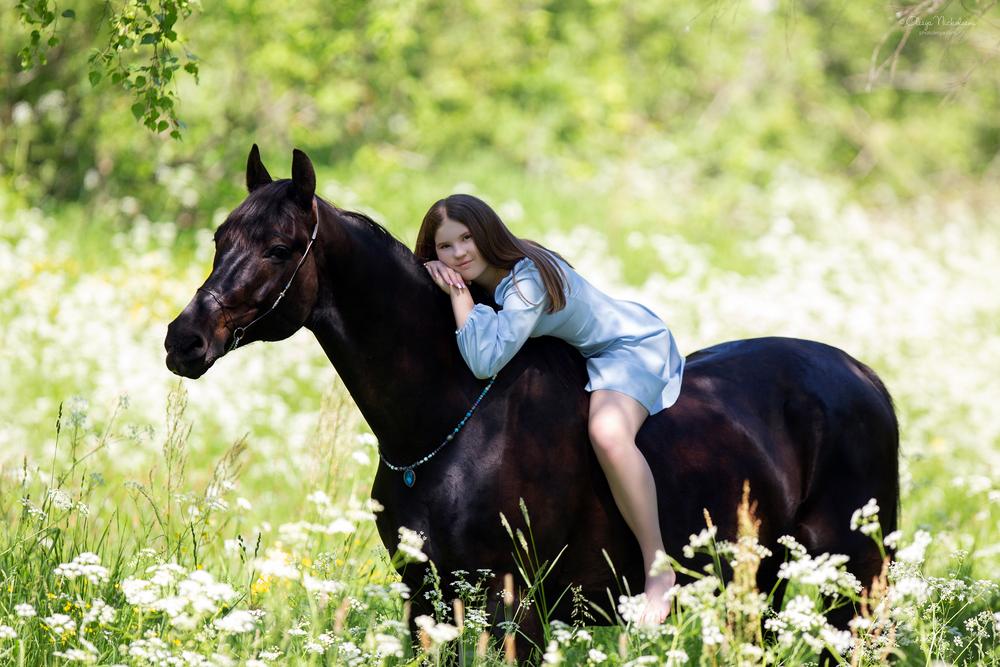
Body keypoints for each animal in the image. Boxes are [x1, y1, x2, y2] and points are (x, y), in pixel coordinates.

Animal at [164, 146, 900, 662]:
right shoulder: (424, 596)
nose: (184, 340)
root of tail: (864, 376)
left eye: (280, 247)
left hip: (856, 581)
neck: (452, 421)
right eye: (220, 238)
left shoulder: (517, 603)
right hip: (767, 581)